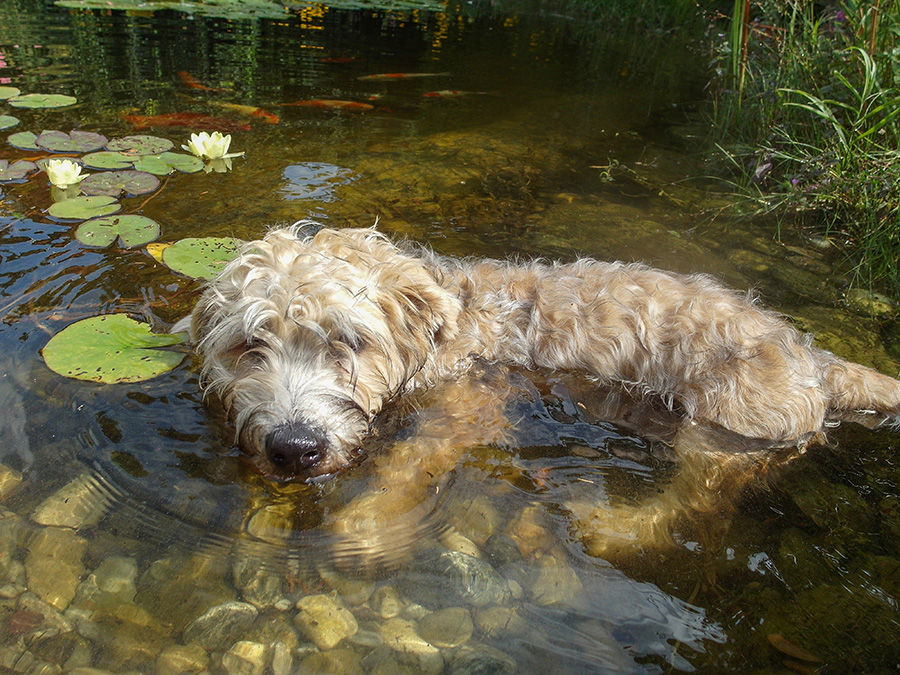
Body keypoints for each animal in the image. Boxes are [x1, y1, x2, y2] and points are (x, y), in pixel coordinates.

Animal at [176, 222, 900, 556]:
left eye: (348, 342)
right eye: (250, 345)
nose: (294, 447)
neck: (445, 328)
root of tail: (817, 360)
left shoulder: (467, 408)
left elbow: (411, 463)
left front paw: (366, 523)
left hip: (722, 433)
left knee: (690, 504)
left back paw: (611, 525)